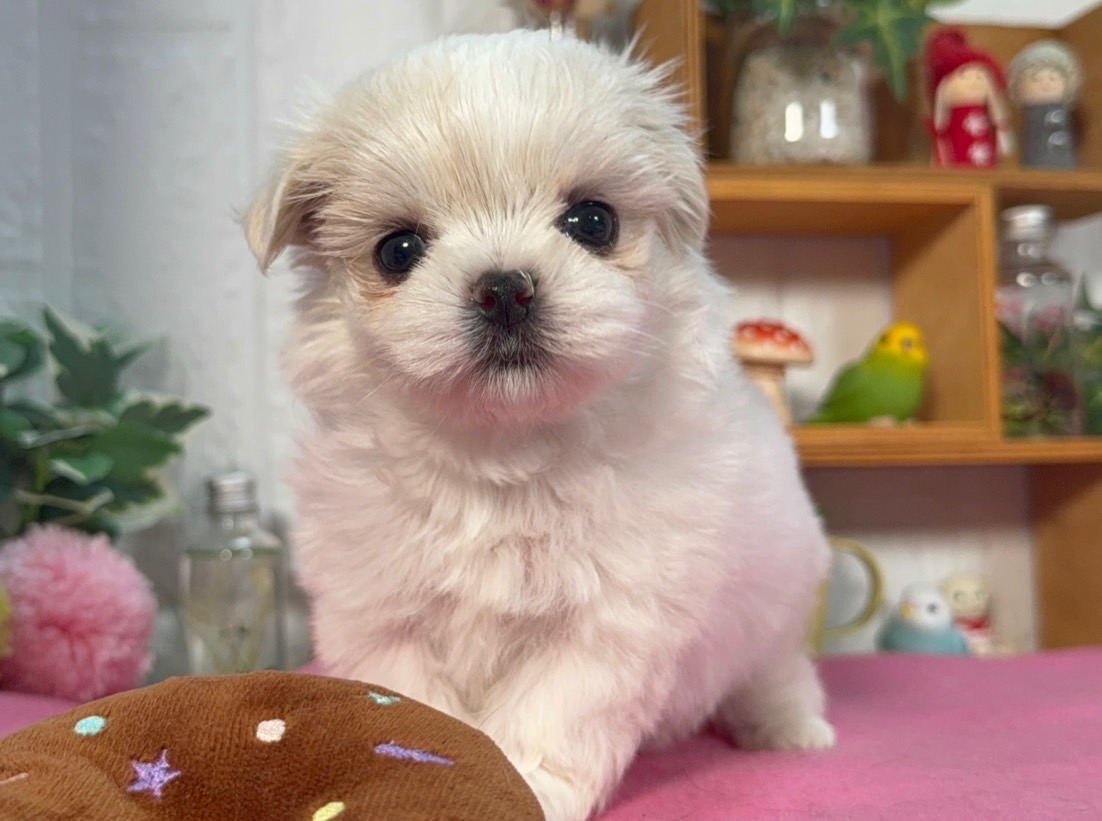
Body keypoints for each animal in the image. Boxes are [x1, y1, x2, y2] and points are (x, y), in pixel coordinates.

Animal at [245, 30, 835, 821]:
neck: (507, 451)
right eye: (397, 250)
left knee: (775, 670)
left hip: (774, 603)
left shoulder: (604, 625)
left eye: (593, 221)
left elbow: (550, 717)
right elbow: (414, 705)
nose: (503, 288)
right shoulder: (379, 612)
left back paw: (791, 727)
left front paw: (529, 788)